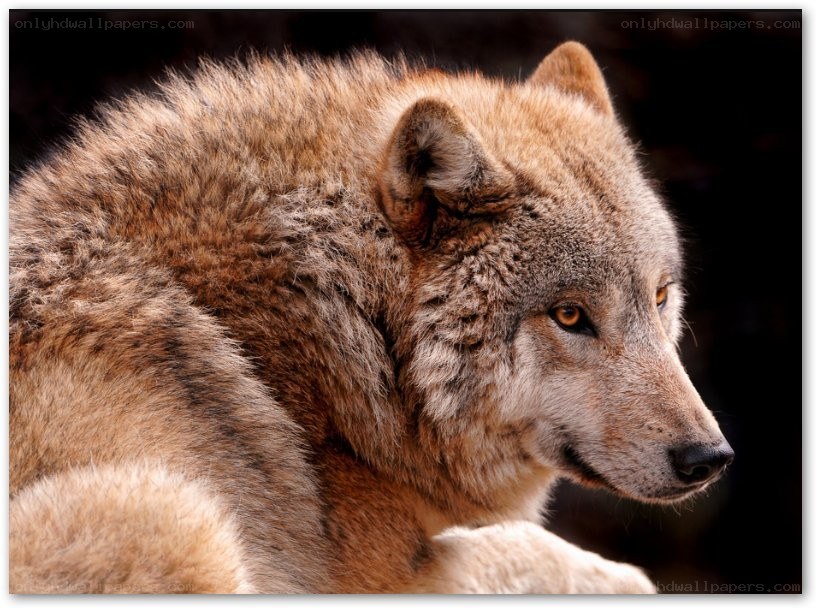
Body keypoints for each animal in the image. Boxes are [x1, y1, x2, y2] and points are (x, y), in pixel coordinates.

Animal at [9, 41, 733, 593]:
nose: (709, 458)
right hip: (166, 513)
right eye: (571, 315)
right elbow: (532, 553)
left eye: (660, 296)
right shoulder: (377, 574)